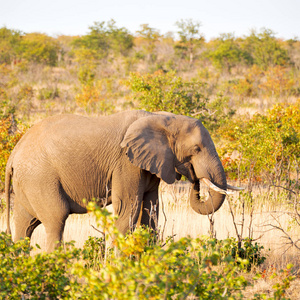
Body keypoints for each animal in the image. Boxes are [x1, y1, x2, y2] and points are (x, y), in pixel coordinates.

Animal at [5, 109, 241, 251]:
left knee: (25, 226)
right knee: (56, 219)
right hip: (40, 177)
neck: (160, 118)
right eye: (197, 149)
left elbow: (150, 212)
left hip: (28, 183)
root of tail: (13, 154)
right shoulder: (126, 164)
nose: (194, 178)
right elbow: (129, 209)